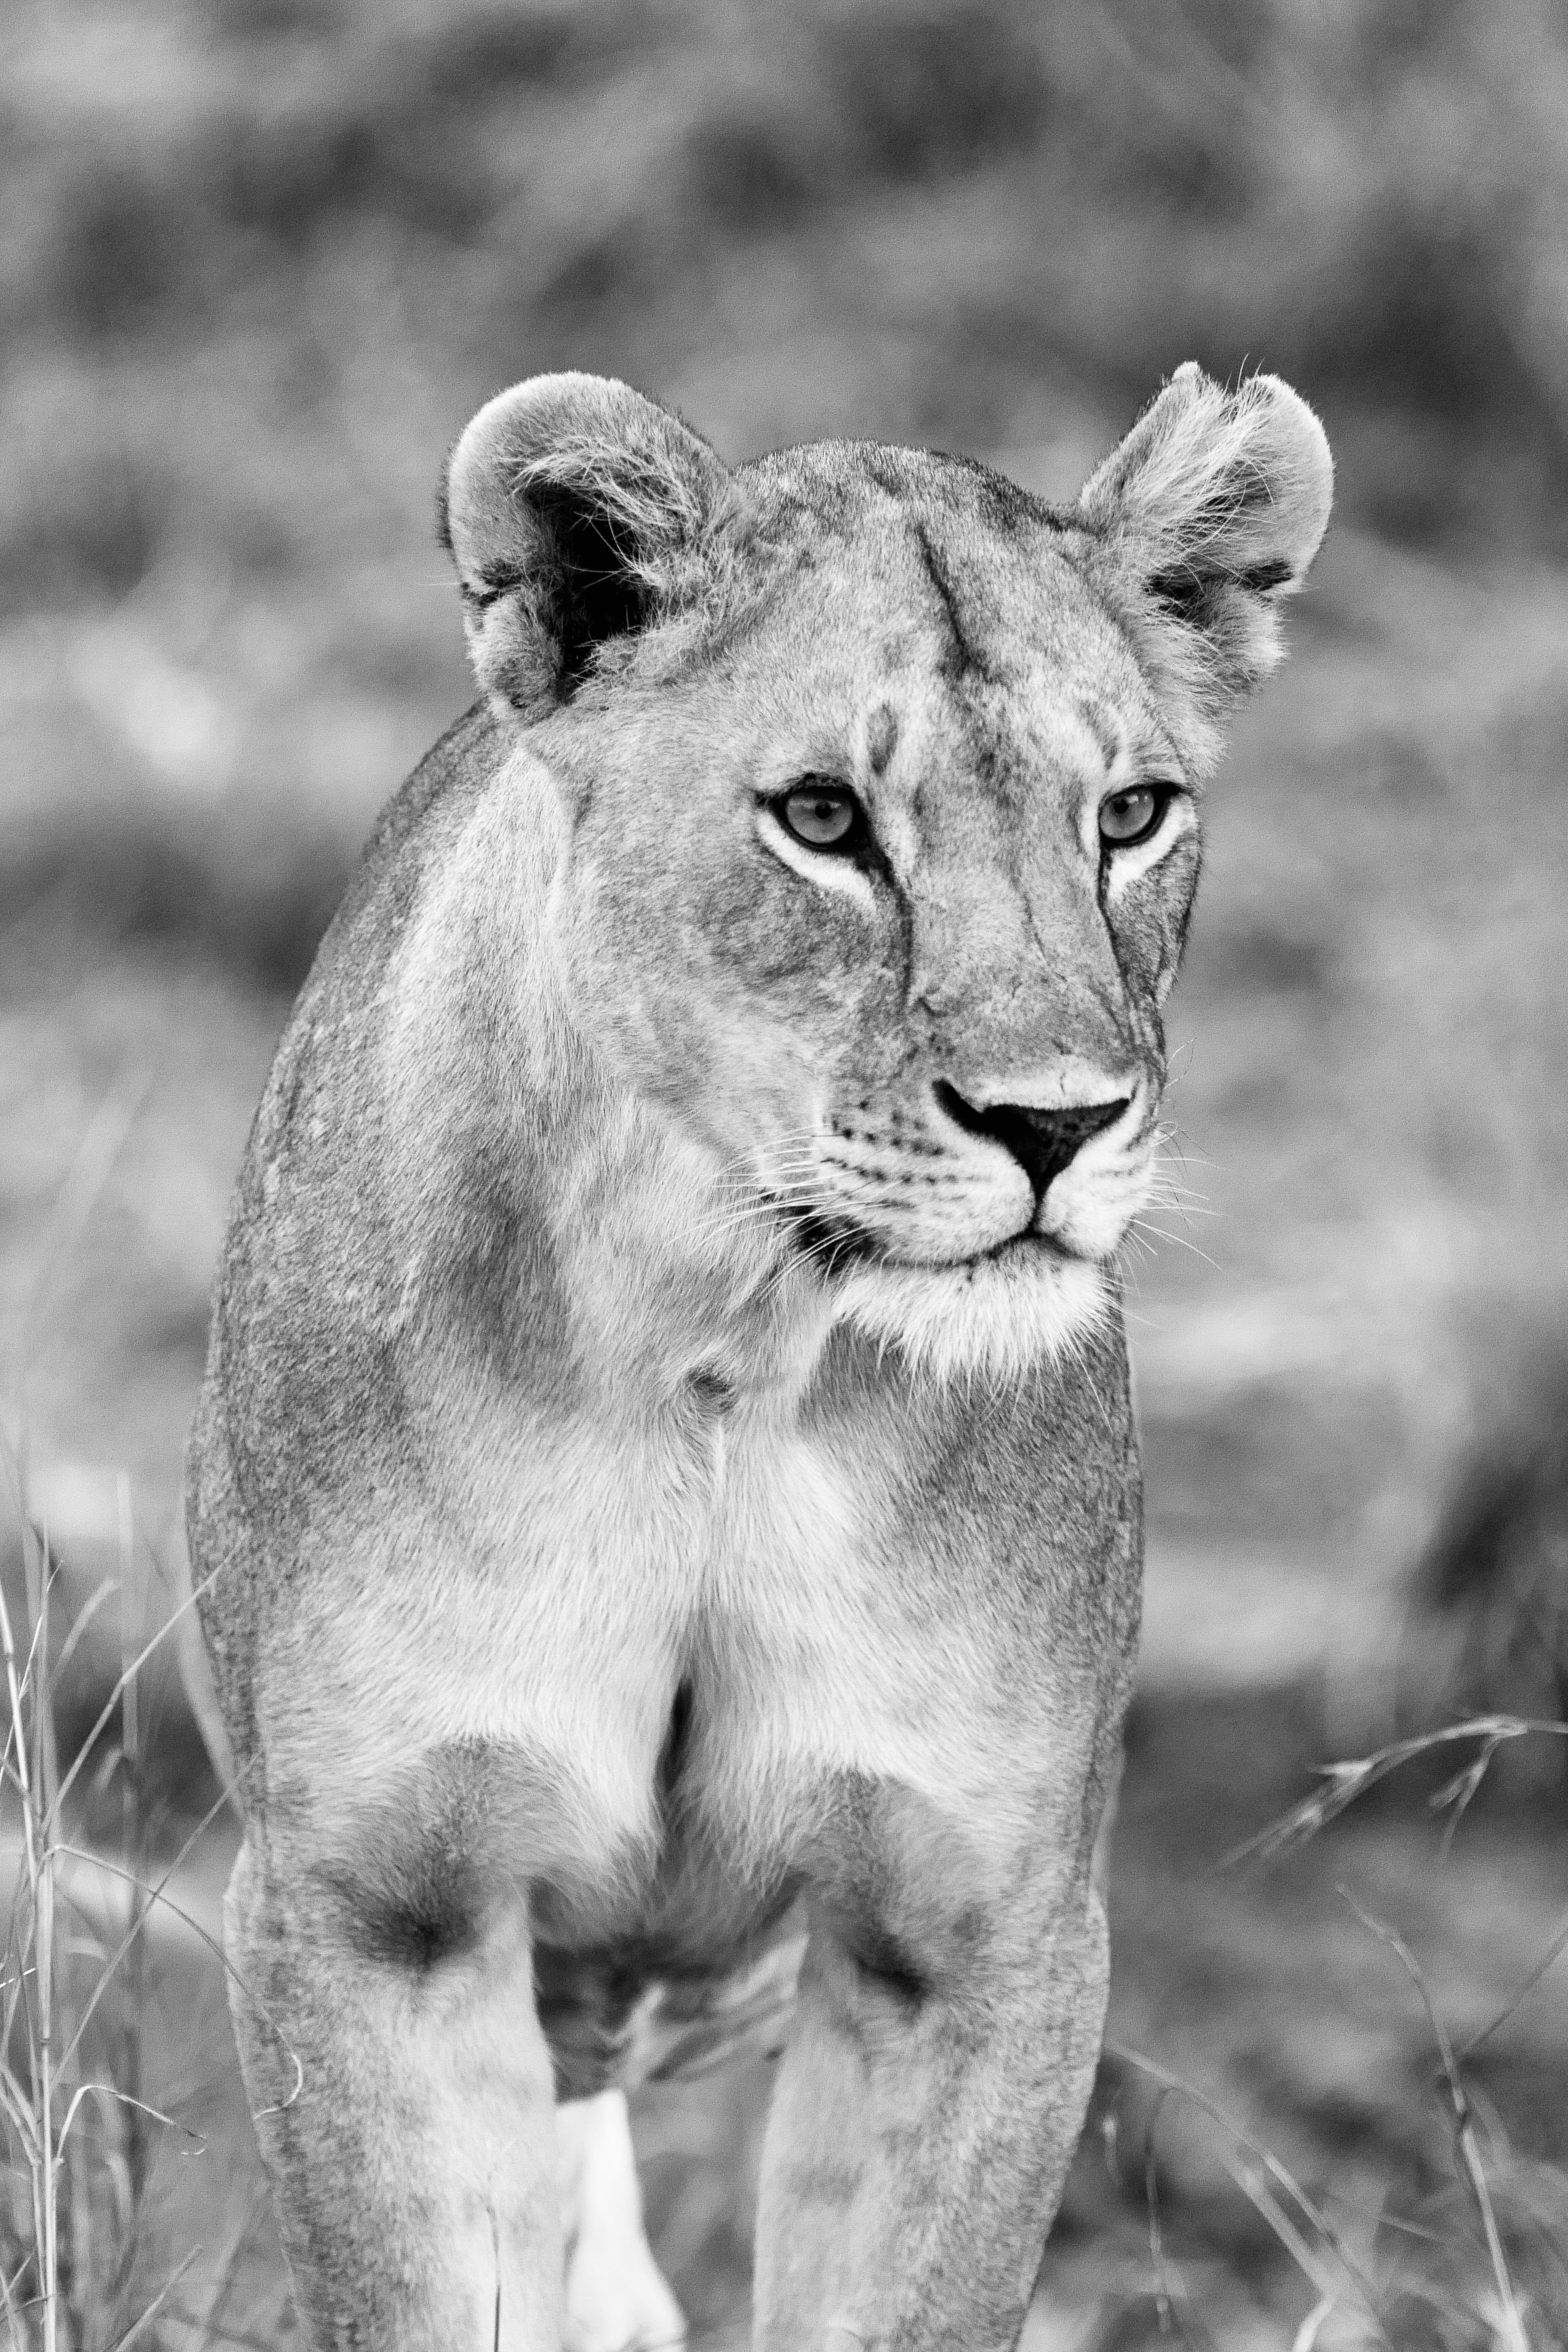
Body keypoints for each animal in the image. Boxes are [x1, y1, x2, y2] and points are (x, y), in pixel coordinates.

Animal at [186, 361, 1331, 2349]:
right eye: (819, 816)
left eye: (1129, 814)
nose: (1057, 1124)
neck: (733, 1344)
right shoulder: (371, 1904)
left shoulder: (976, 1926)